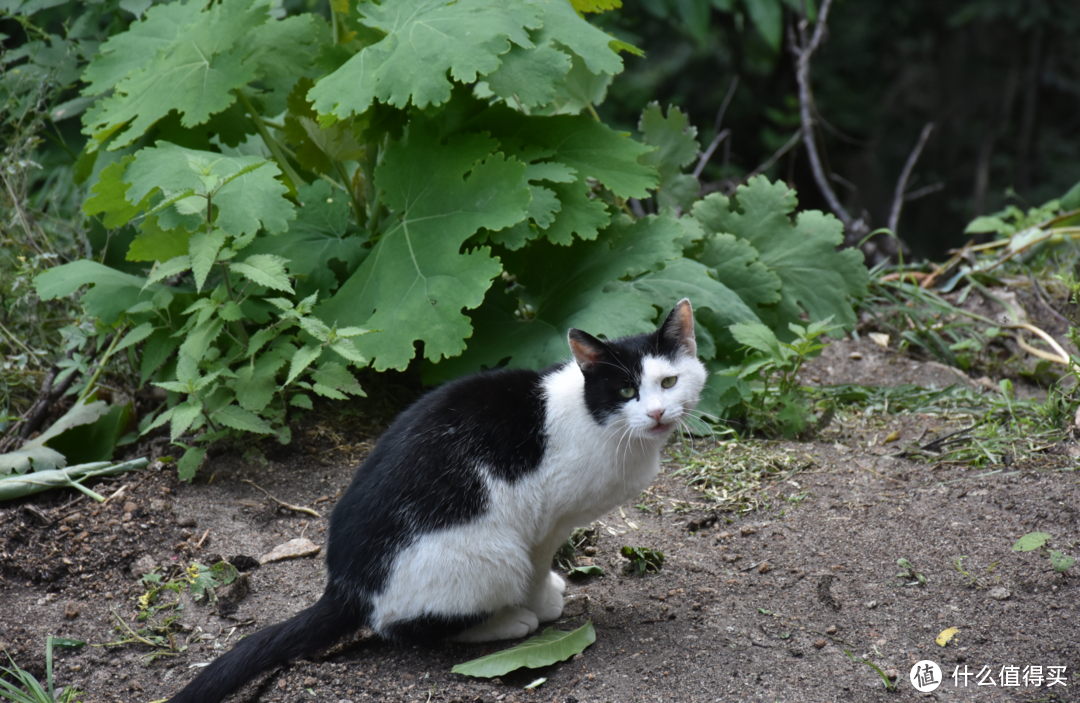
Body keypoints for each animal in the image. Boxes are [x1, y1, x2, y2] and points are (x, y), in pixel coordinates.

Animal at [166, 298, 708, 703]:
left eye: (668, 382)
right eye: (625, 389)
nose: (657, 413)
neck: (597, 418)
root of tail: (347, 585)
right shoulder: (545, 523)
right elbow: (538, 567)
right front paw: (543, 601)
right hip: (492, 555)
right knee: (408, 629)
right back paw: (507, 621)